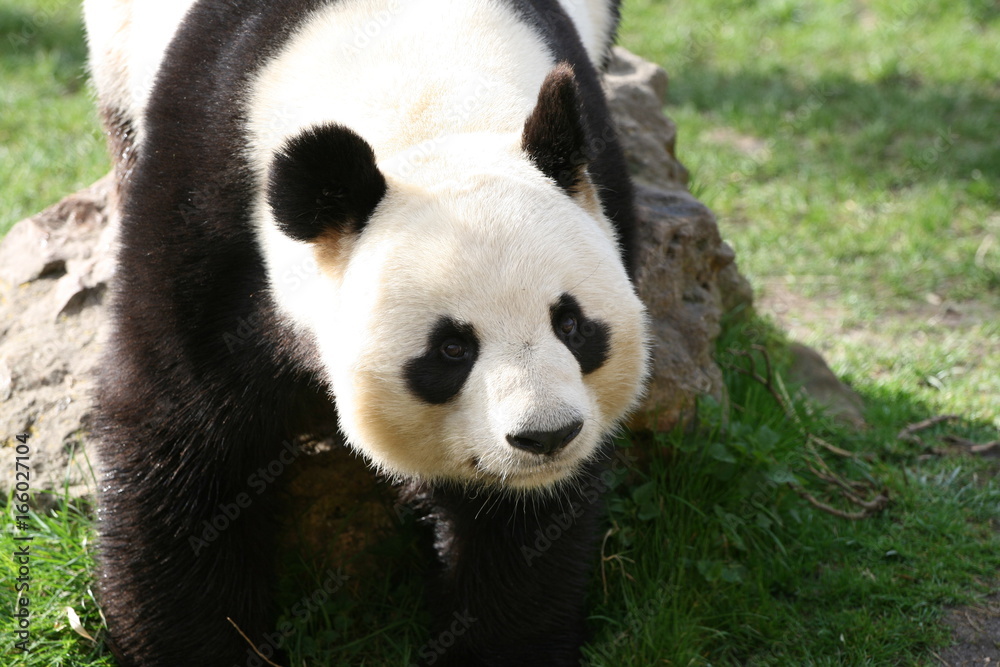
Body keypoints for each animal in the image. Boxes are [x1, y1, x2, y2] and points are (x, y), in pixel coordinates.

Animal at [84, 0, 649, 665]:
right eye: (451, 349)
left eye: (572, 324)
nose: (547, 435)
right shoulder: (209, 211)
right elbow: (183, 437)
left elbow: (518, 528)